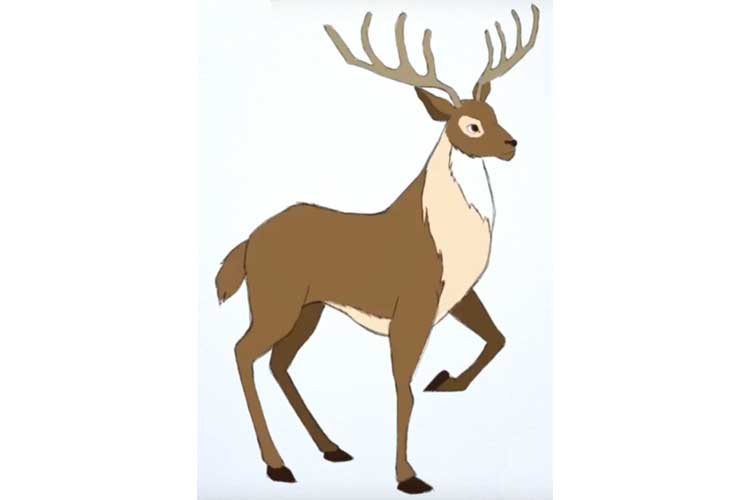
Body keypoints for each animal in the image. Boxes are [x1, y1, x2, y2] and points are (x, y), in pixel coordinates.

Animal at [216, 5, 540, 495]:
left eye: (493, 111)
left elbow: (497, 338)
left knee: (278, 363)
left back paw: (331, 448)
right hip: (277, 299)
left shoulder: (458, 294)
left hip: (309, 307)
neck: (445, 238)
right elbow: (402, 389)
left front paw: (444, 381)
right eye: (471, 124)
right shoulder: (414, 304)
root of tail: (249, 242)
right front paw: (408, 476)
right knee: (242, 352)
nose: (511, 144)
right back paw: (277, 464)